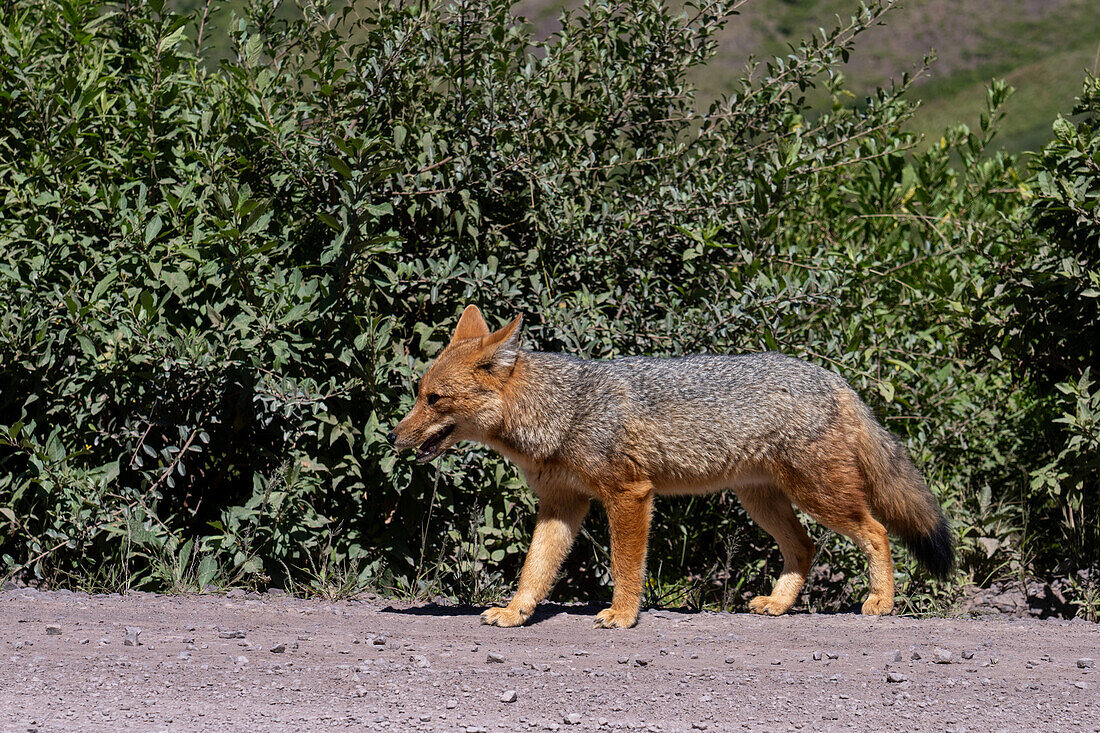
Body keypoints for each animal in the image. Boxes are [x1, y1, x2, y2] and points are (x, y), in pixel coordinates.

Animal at [389, 303, 954, 629]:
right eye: (418, 395)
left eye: (433, 400)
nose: (392, 437)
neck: (561, 409)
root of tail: (832, 377)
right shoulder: (561, 505)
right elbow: (535, 569)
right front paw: (515, 612)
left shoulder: (629, 495)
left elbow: (625, 567)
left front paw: (622, 615)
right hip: (766, 504)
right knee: (806, 547)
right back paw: (778, 605)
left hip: (821, 497)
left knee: (876, 531)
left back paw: (881, 602)